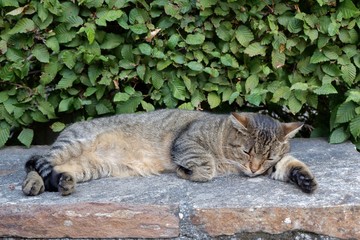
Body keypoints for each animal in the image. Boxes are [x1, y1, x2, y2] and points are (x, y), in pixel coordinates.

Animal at [21, 109, 318, 196]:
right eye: (247, 152)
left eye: (268, 157)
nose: (255, 168)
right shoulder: (186, 140)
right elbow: (206, 166)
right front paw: (186, 171)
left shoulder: (275, 165)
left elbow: (291, 163)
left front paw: (305, 179)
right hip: (73, 144)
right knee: (37, 163)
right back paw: (33, 184)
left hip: (88, 166)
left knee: (55, 169)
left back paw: (62, 182)